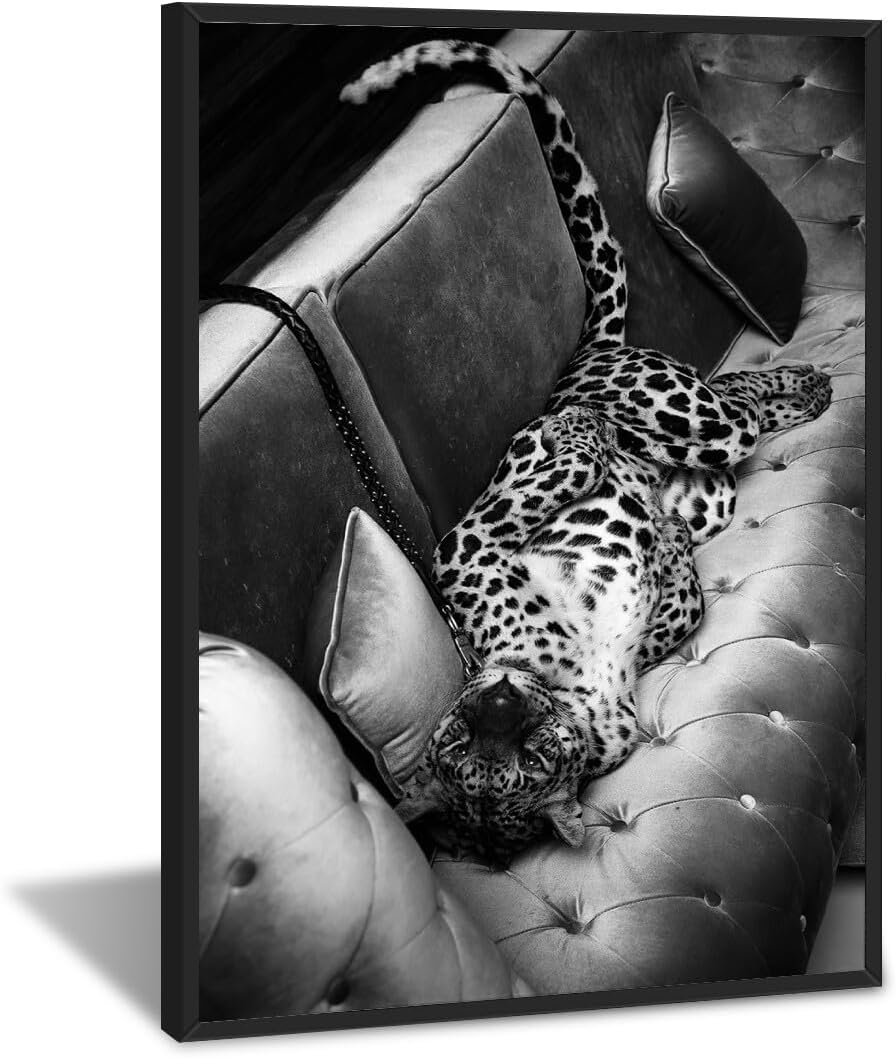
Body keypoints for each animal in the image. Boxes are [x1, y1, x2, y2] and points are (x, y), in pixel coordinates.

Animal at [341, 40, 831, 864]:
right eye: (469, 755)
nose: (499, 698)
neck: (565, 687)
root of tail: (585, 355)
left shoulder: (461, 549)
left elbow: (552, 476)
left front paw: (576, 439)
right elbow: (679, 600)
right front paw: (664, 550)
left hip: (682, 412)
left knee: (731, 397)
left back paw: (792, 385)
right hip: (707, 479)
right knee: (737, 409)